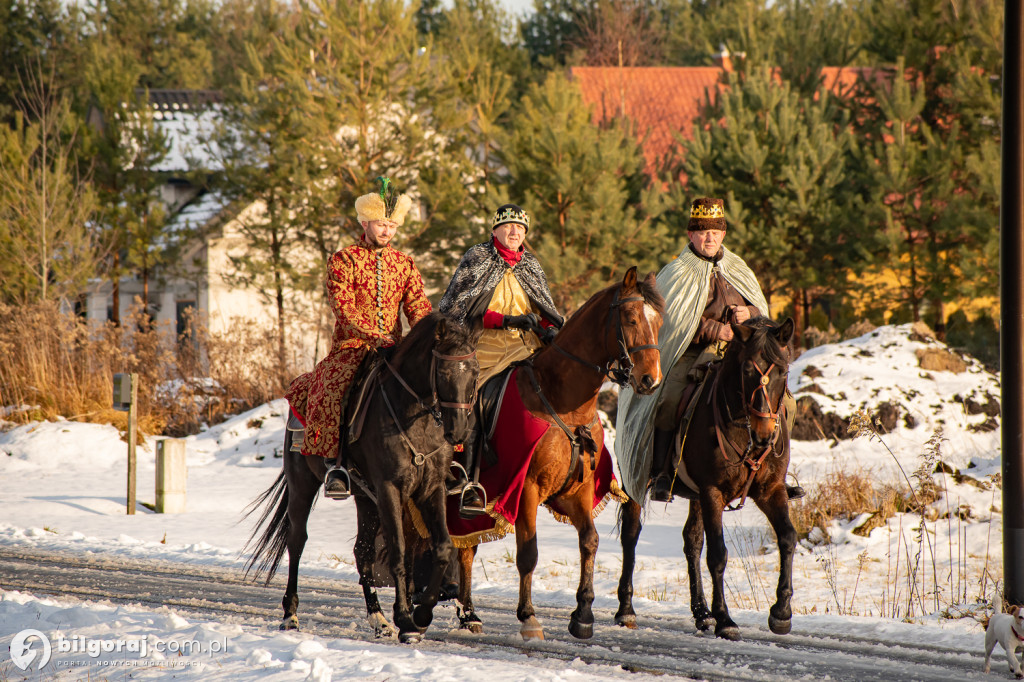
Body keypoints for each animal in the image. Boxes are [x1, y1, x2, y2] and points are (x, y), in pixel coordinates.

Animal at [243, 313, 479, 643]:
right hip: (304, 487)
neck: (412, 416)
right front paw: (405, 619)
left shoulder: (429, 490)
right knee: (297, 541)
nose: (458, 431)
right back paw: (290, 614)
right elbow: (398, 552)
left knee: (362, 551)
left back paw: (378, 619)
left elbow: (443, 547)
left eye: (475, 372)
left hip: (366, 499)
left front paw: (421, 615)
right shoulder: (390, 489)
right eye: (443, 371)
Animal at [456, 266, 663, 638]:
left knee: (465, 547)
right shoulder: (525, 488)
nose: (650, 380)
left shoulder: (577, 491)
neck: (563, 402)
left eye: (660, 321)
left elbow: (590, 540)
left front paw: (583, 614)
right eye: (630, 317)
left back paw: (469, 614)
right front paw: (528, 617)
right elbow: (528, 552)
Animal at [610, 313, 794, 638]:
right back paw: (626, 609)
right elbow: (718, 554)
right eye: (747, 370)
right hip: (635, 483)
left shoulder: (771, 490)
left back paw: (701, 613)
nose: (763, 436)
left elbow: (787, 537)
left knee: (691, 542)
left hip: (695, 496)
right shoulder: (712, 491)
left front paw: (781, 612)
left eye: (783, 371)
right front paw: (726, 619)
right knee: (631, 536)